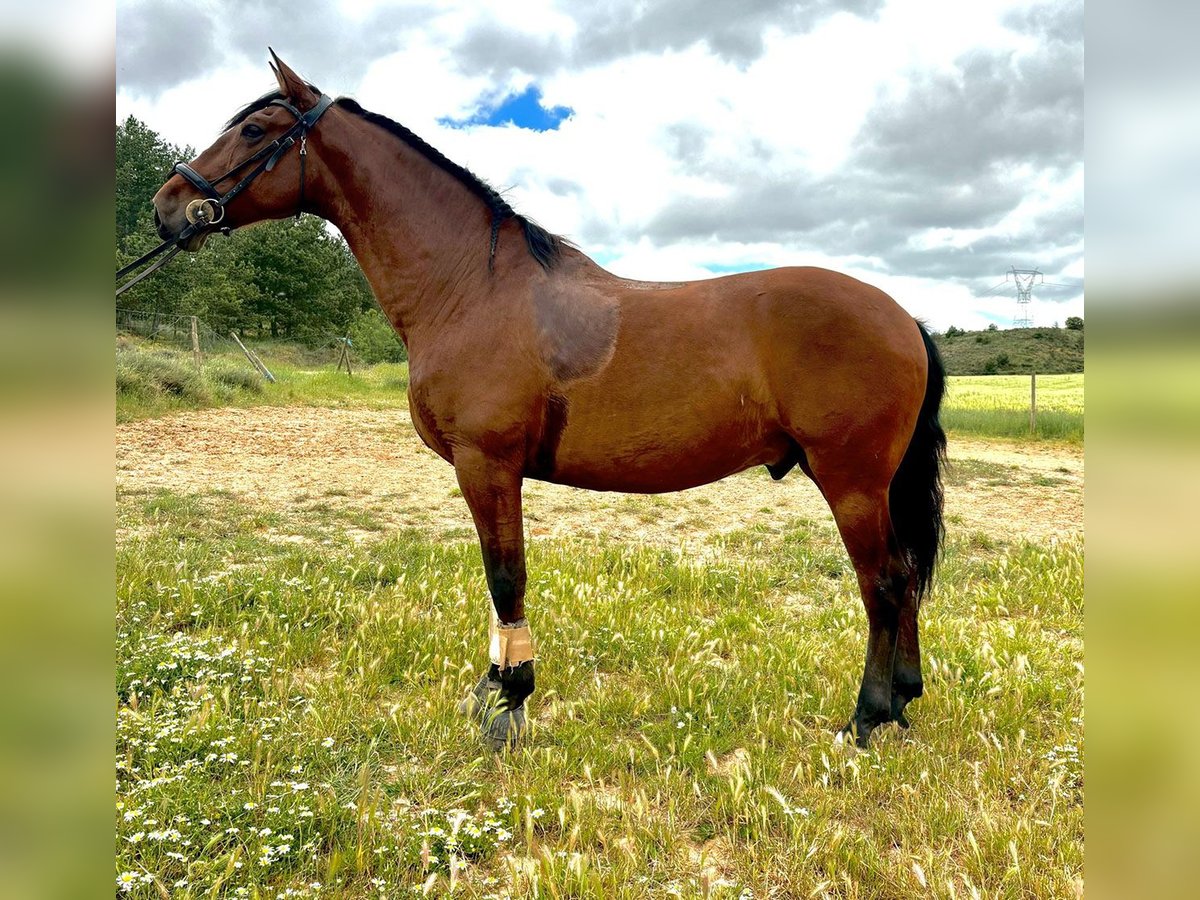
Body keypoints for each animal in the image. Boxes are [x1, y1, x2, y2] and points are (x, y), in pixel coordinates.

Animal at [147, 52, 945, 748]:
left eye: (255, 130)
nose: (168, 207)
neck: (471, 287)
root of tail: (903, 317)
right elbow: (497, 579)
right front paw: (492, 690)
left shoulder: (487, 463)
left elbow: (507, 576)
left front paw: (508, 703)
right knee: (905, 577)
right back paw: (904, 699)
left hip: (851, 480)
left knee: (883, 582)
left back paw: (868, 717)